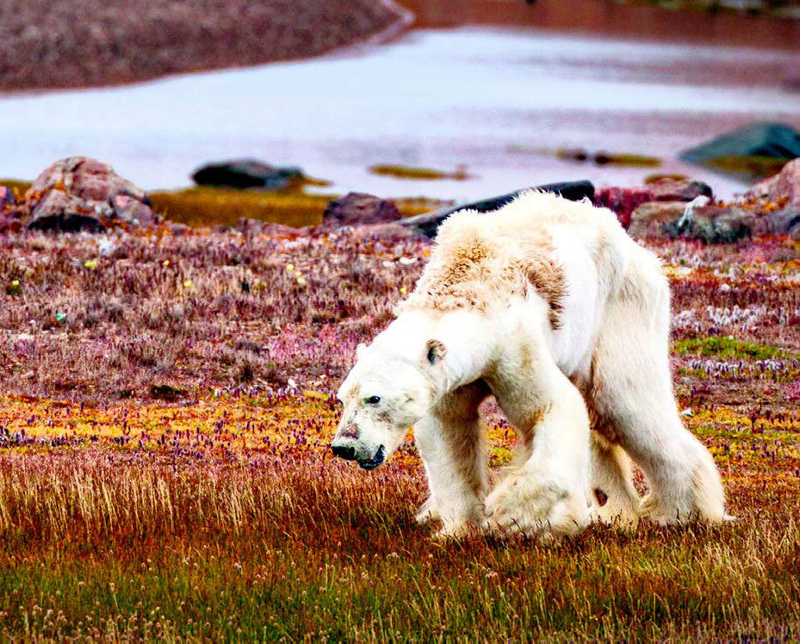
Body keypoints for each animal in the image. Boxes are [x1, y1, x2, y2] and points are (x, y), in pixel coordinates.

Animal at [328, 190, 728, 540]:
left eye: (375, 398)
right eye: (343, 398)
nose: (344, 446)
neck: (468, 283)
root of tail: (639, 251)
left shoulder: (514, 344)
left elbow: (550, 408)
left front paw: (510, 515)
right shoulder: (451, 378)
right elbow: (448, 432)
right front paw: (458, 528)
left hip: (621, 308)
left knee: (625, 404)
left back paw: (682, 512)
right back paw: (614, 511)